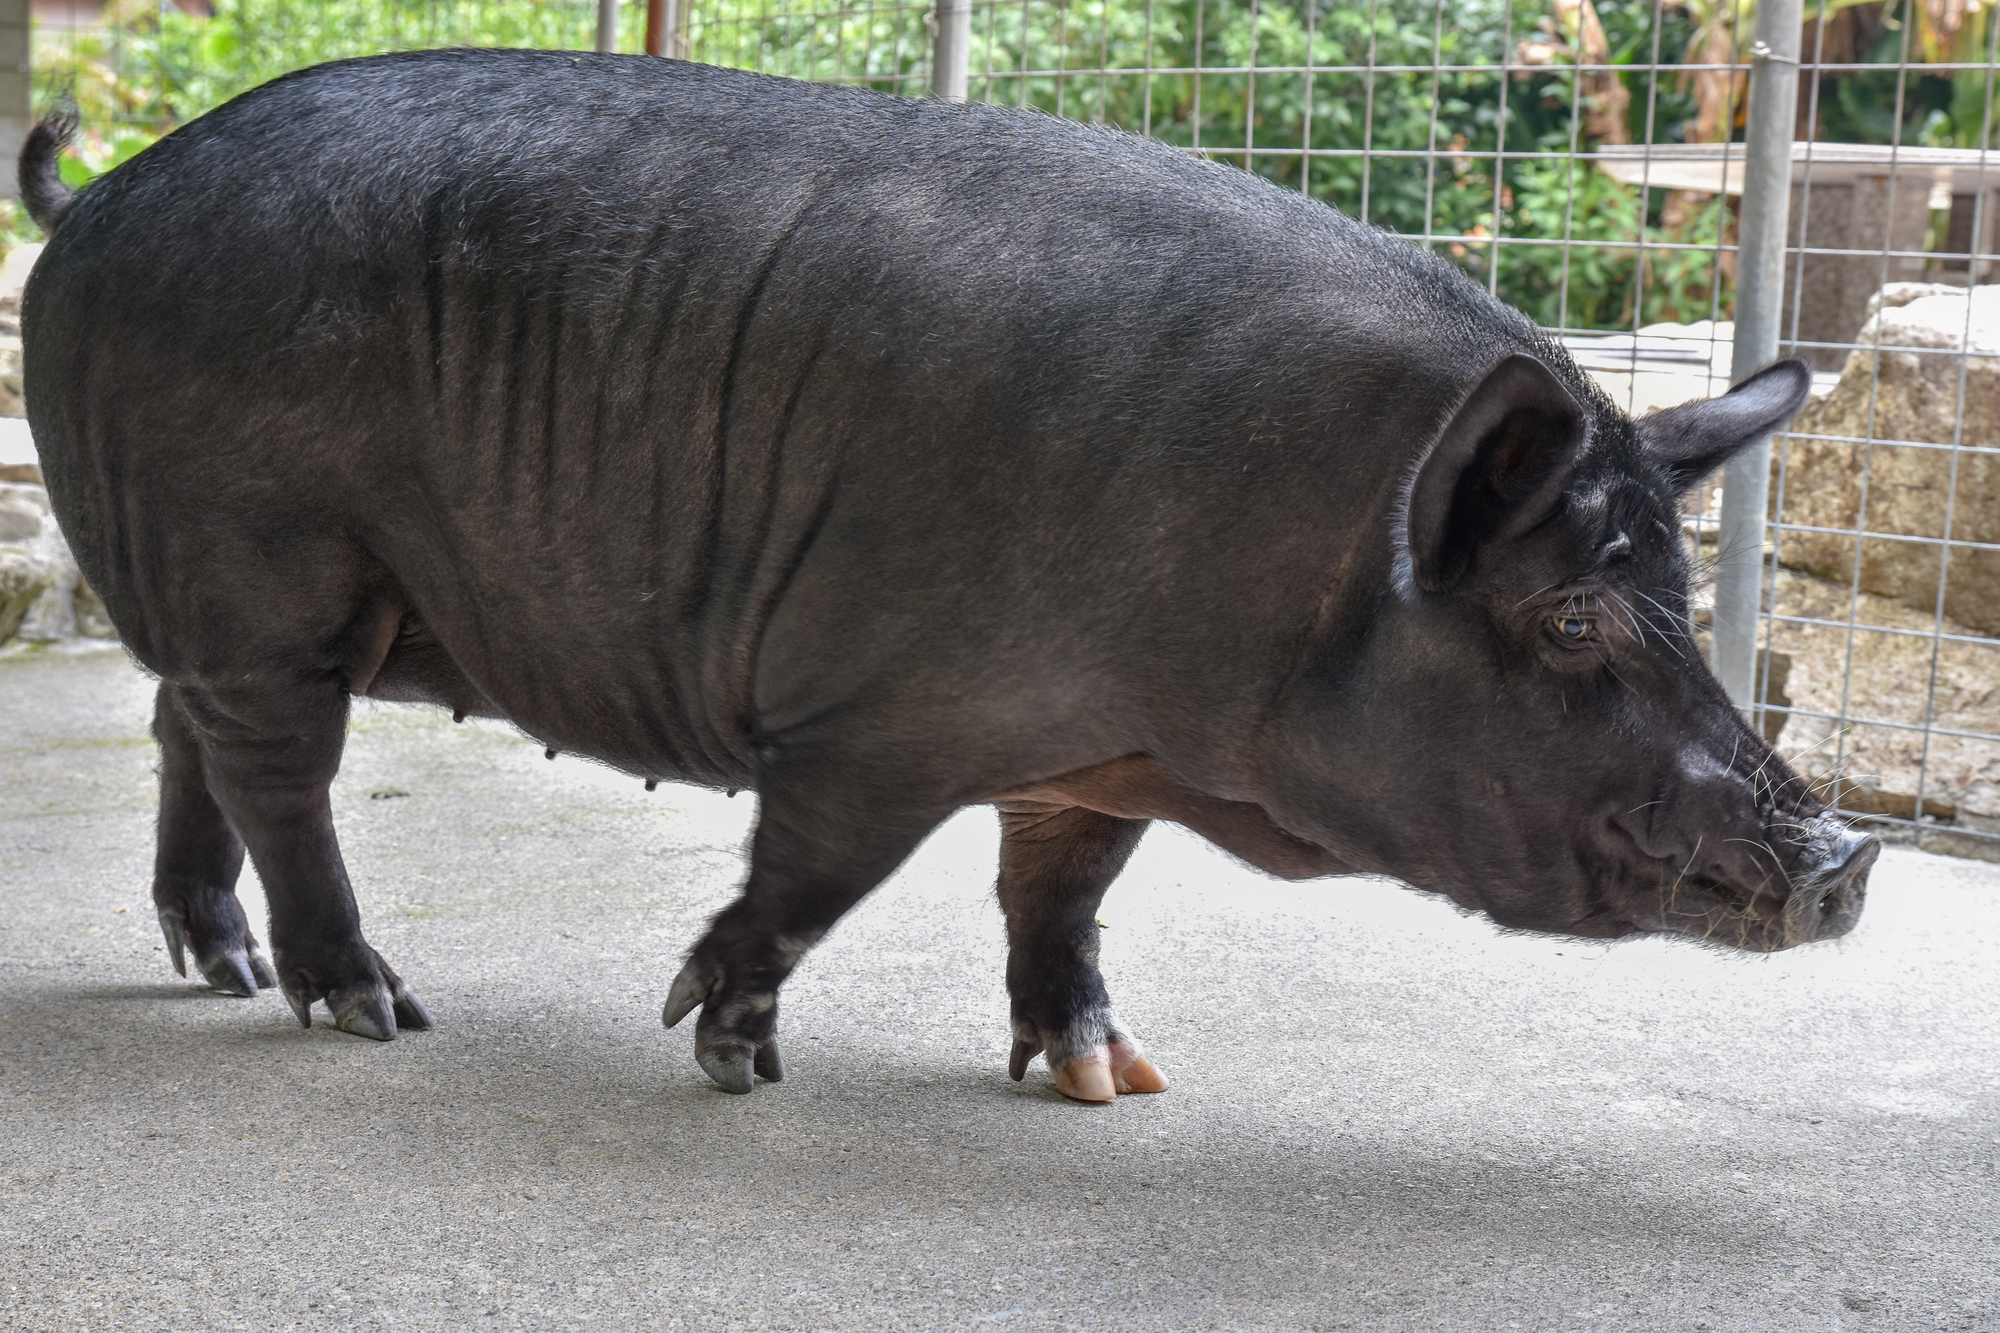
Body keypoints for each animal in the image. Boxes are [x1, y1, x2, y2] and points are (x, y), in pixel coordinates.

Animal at [19, 52, 1872, 1096]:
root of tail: (100, 193)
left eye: (1684, 601)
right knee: (279, 765)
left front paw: (1111, 1078)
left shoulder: (1096, 749)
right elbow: (817, 875)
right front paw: (729, 1053)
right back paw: (369, 1010)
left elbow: (1061, 888)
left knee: (192, 732)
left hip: (239, 590)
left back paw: (220, 968)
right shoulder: (872, 714)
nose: (1847, 852)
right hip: (263, 551)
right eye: (1568, 616)